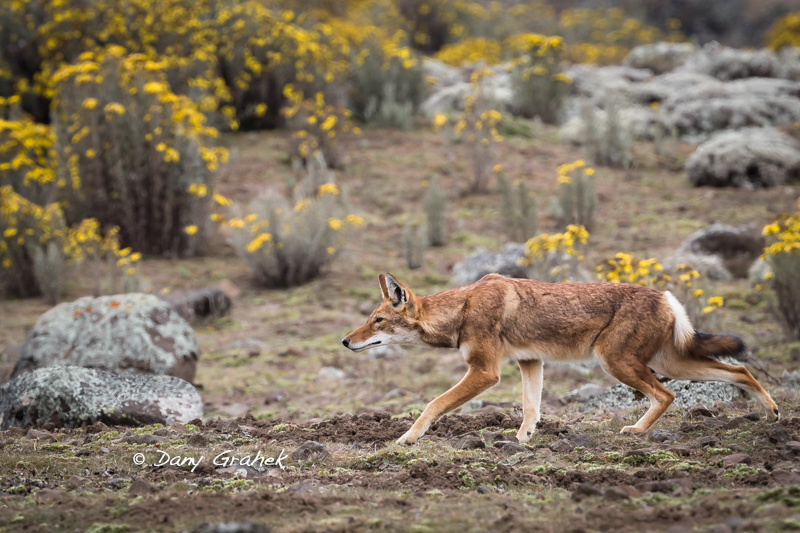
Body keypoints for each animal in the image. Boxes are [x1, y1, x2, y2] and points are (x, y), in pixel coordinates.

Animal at [340, 272, 780, 442]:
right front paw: (523, 440)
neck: (463, 308)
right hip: (671, 363)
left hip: (619, 363)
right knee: (741, 369)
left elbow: (433, 403)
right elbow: (531, 408)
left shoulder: (485, 372)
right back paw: (773, 414)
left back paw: (636, 432)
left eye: (377, 321)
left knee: (667, 395)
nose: (345, 341)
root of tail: (665, 295)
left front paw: (407, 439)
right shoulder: (530, 363)